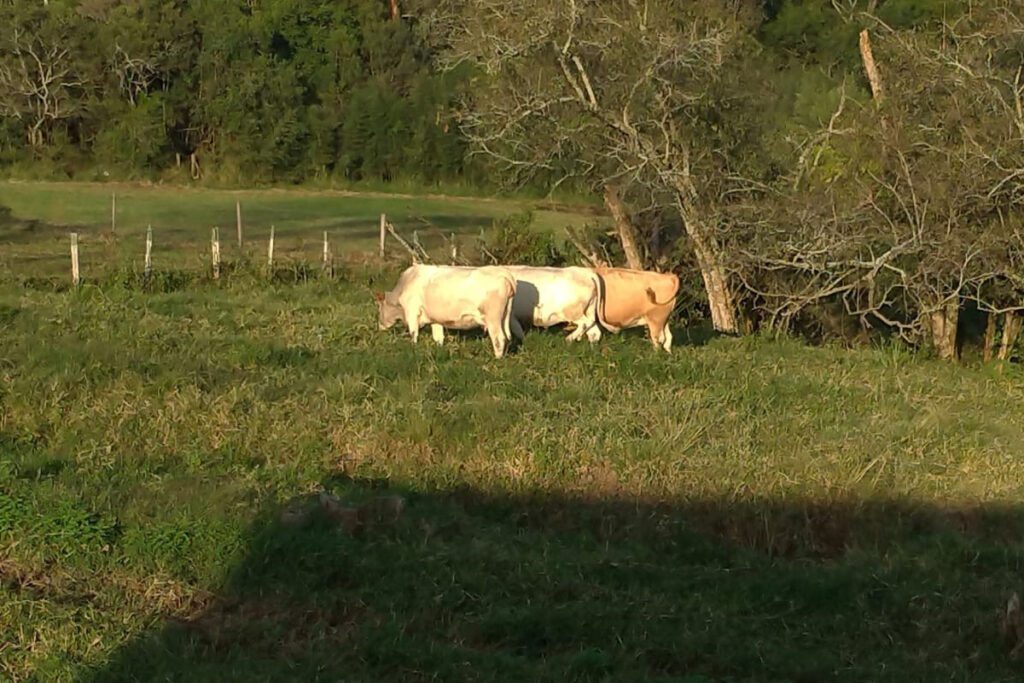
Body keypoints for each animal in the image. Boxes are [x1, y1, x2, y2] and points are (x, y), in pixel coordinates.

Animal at [374, 264, 516, 358]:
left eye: (379, 308)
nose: (380, 326)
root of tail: (503, 272)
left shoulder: (412, 312)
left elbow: (413, 333)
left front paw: (413, 349)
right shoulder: (435, 319)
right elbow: (438, 338)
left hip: (493, 319)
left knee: (499, 339)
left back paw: (497, 359)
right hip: (504, 317)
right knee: (508, 337)